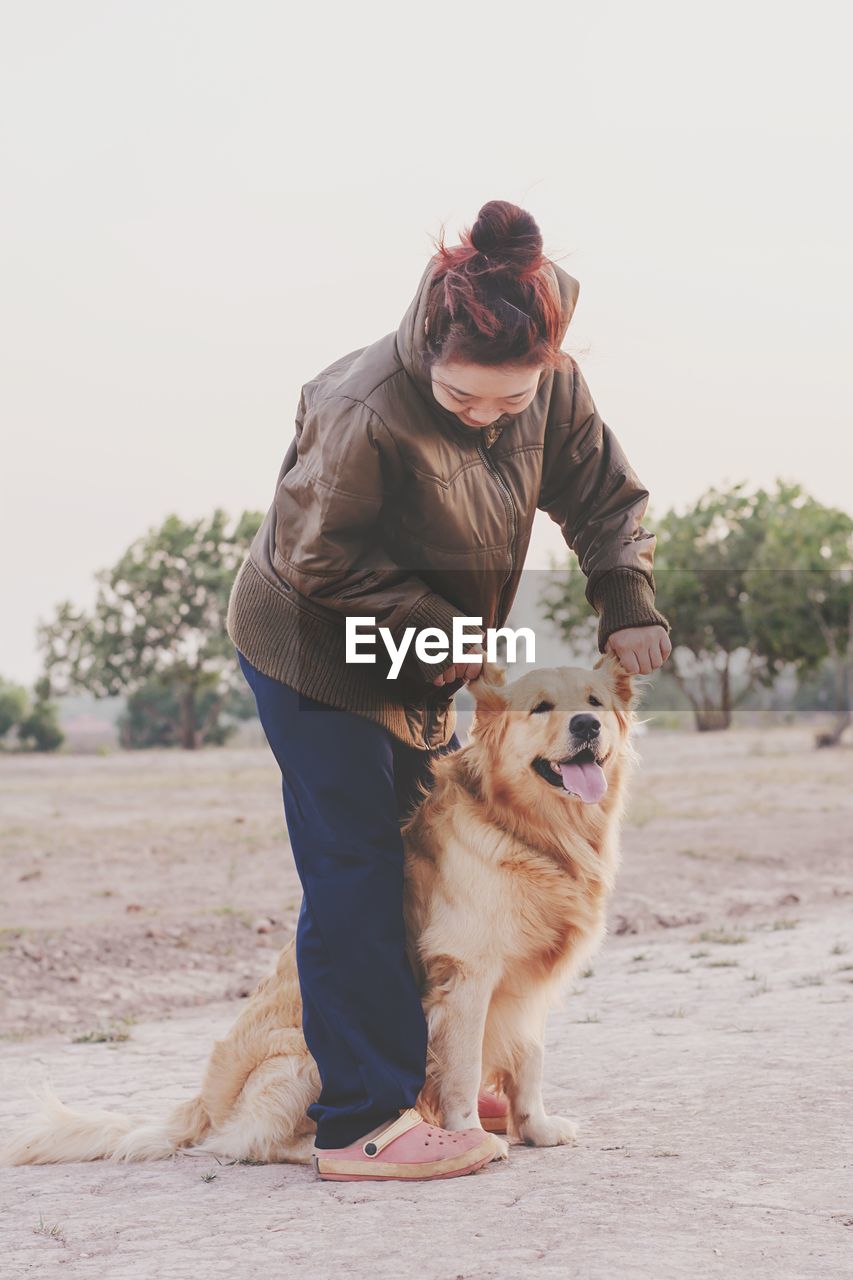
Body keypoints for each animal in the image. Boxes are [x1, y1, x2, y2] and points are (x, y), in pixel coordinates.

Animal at [3, 655, 635, 1167]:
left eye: (594, 703)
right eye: (542, 707)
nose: (587, 726)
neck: (528, 831)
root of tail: (203, 1103)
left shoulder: (527, 980)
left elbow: (530, 1058)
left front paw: (535, 1126)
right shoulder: (467, 975)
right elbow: (459, 1071)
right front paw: (472, 1133)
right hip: (309, 1055)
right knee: (255, 1142)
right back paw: (352, 1143)